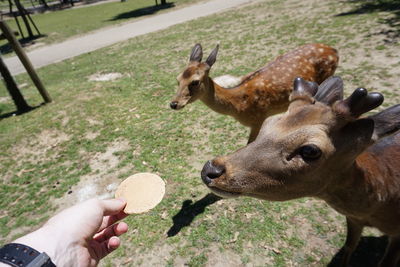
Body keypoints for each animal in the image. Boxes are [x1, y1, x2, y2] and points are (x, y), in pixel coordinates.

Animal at [170, 43, 340, 142]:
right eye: (178, 79)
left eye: (195, 82)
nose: (173, 103)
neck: (238, 105)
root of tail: (335, 51)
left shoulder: (259, 119)